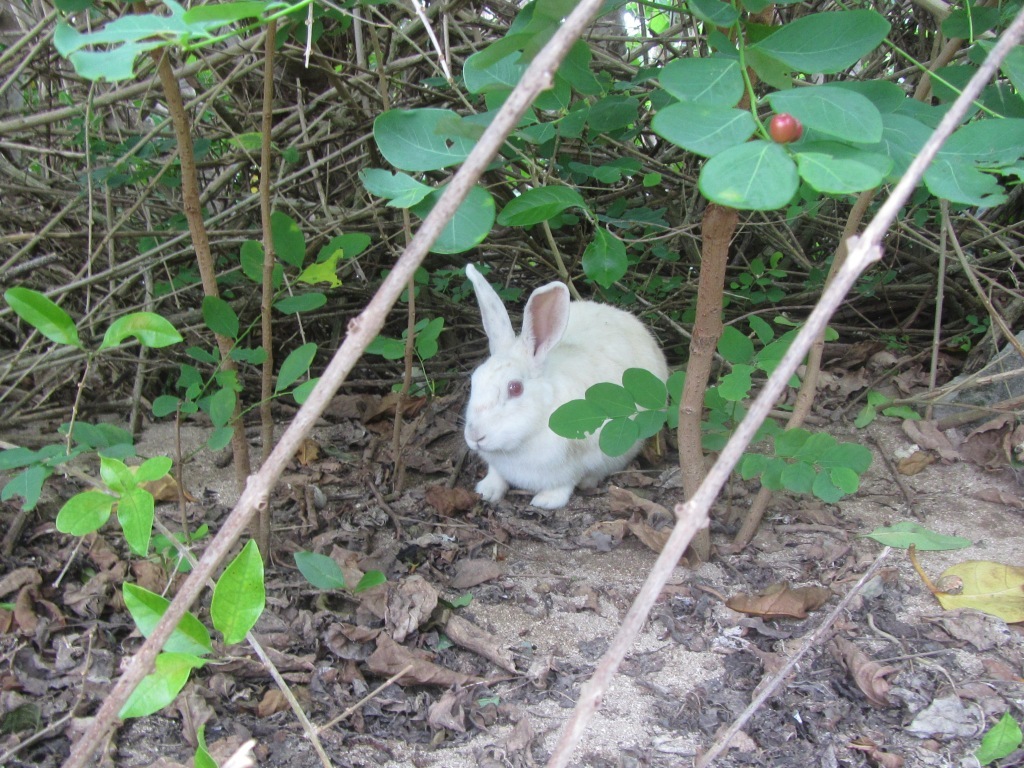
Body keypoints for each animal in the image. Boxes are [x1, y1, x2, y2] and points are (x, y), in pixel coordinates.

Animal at [466, 264, 671, 512]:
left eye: (515, 388)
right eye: (474, 380)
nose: (475, 435)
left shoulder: (580, 460)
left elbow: (566, 483)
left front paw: (546, 501)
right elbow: (496, 474)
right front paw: (487, 490)